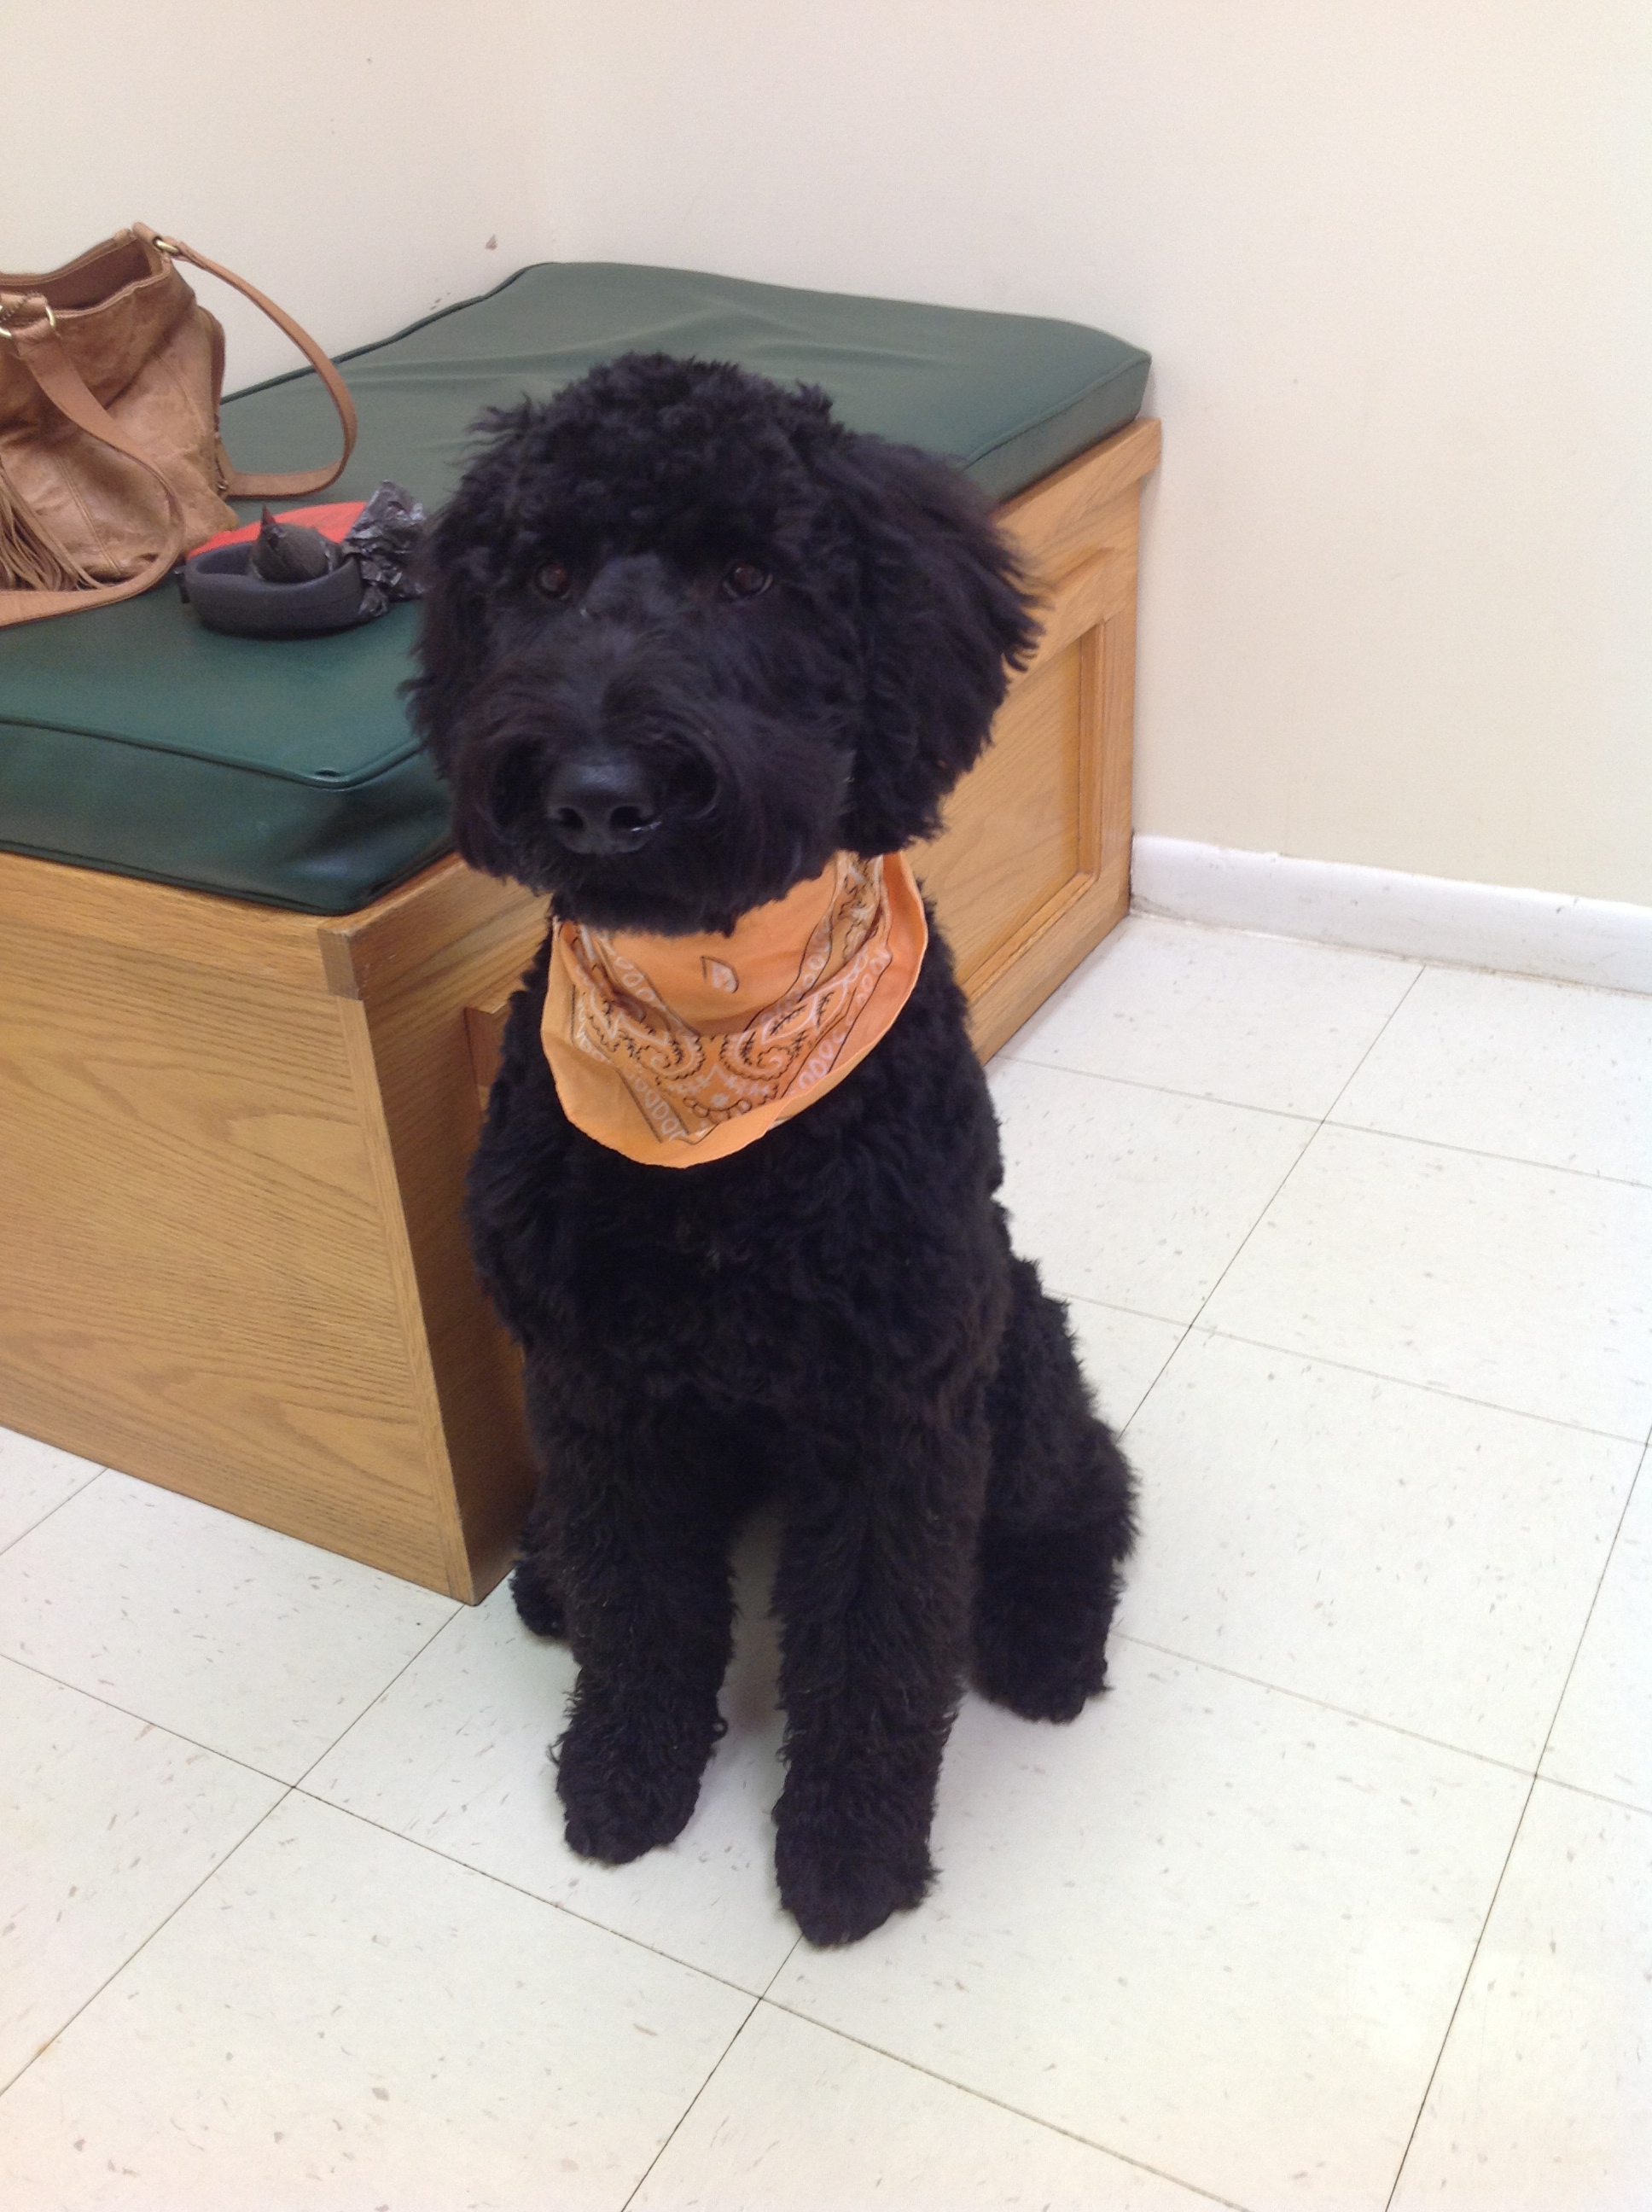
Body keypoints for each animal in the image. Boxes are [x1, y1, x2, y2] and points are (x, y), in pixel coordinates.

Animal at [411, 353, 1141, 1946]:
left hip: (1009, 1343)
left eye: (749, 572)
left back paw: (1045, 1637)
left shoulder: (896, 1412)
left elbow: (873, 1651)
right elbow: (640, 1607)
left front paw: (847, 1859)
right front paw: (625, 1781)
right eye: (544, 577)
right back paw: (546, 1571)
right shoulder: (600, 1391)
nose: (596, 790)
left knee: (1091, 1484)